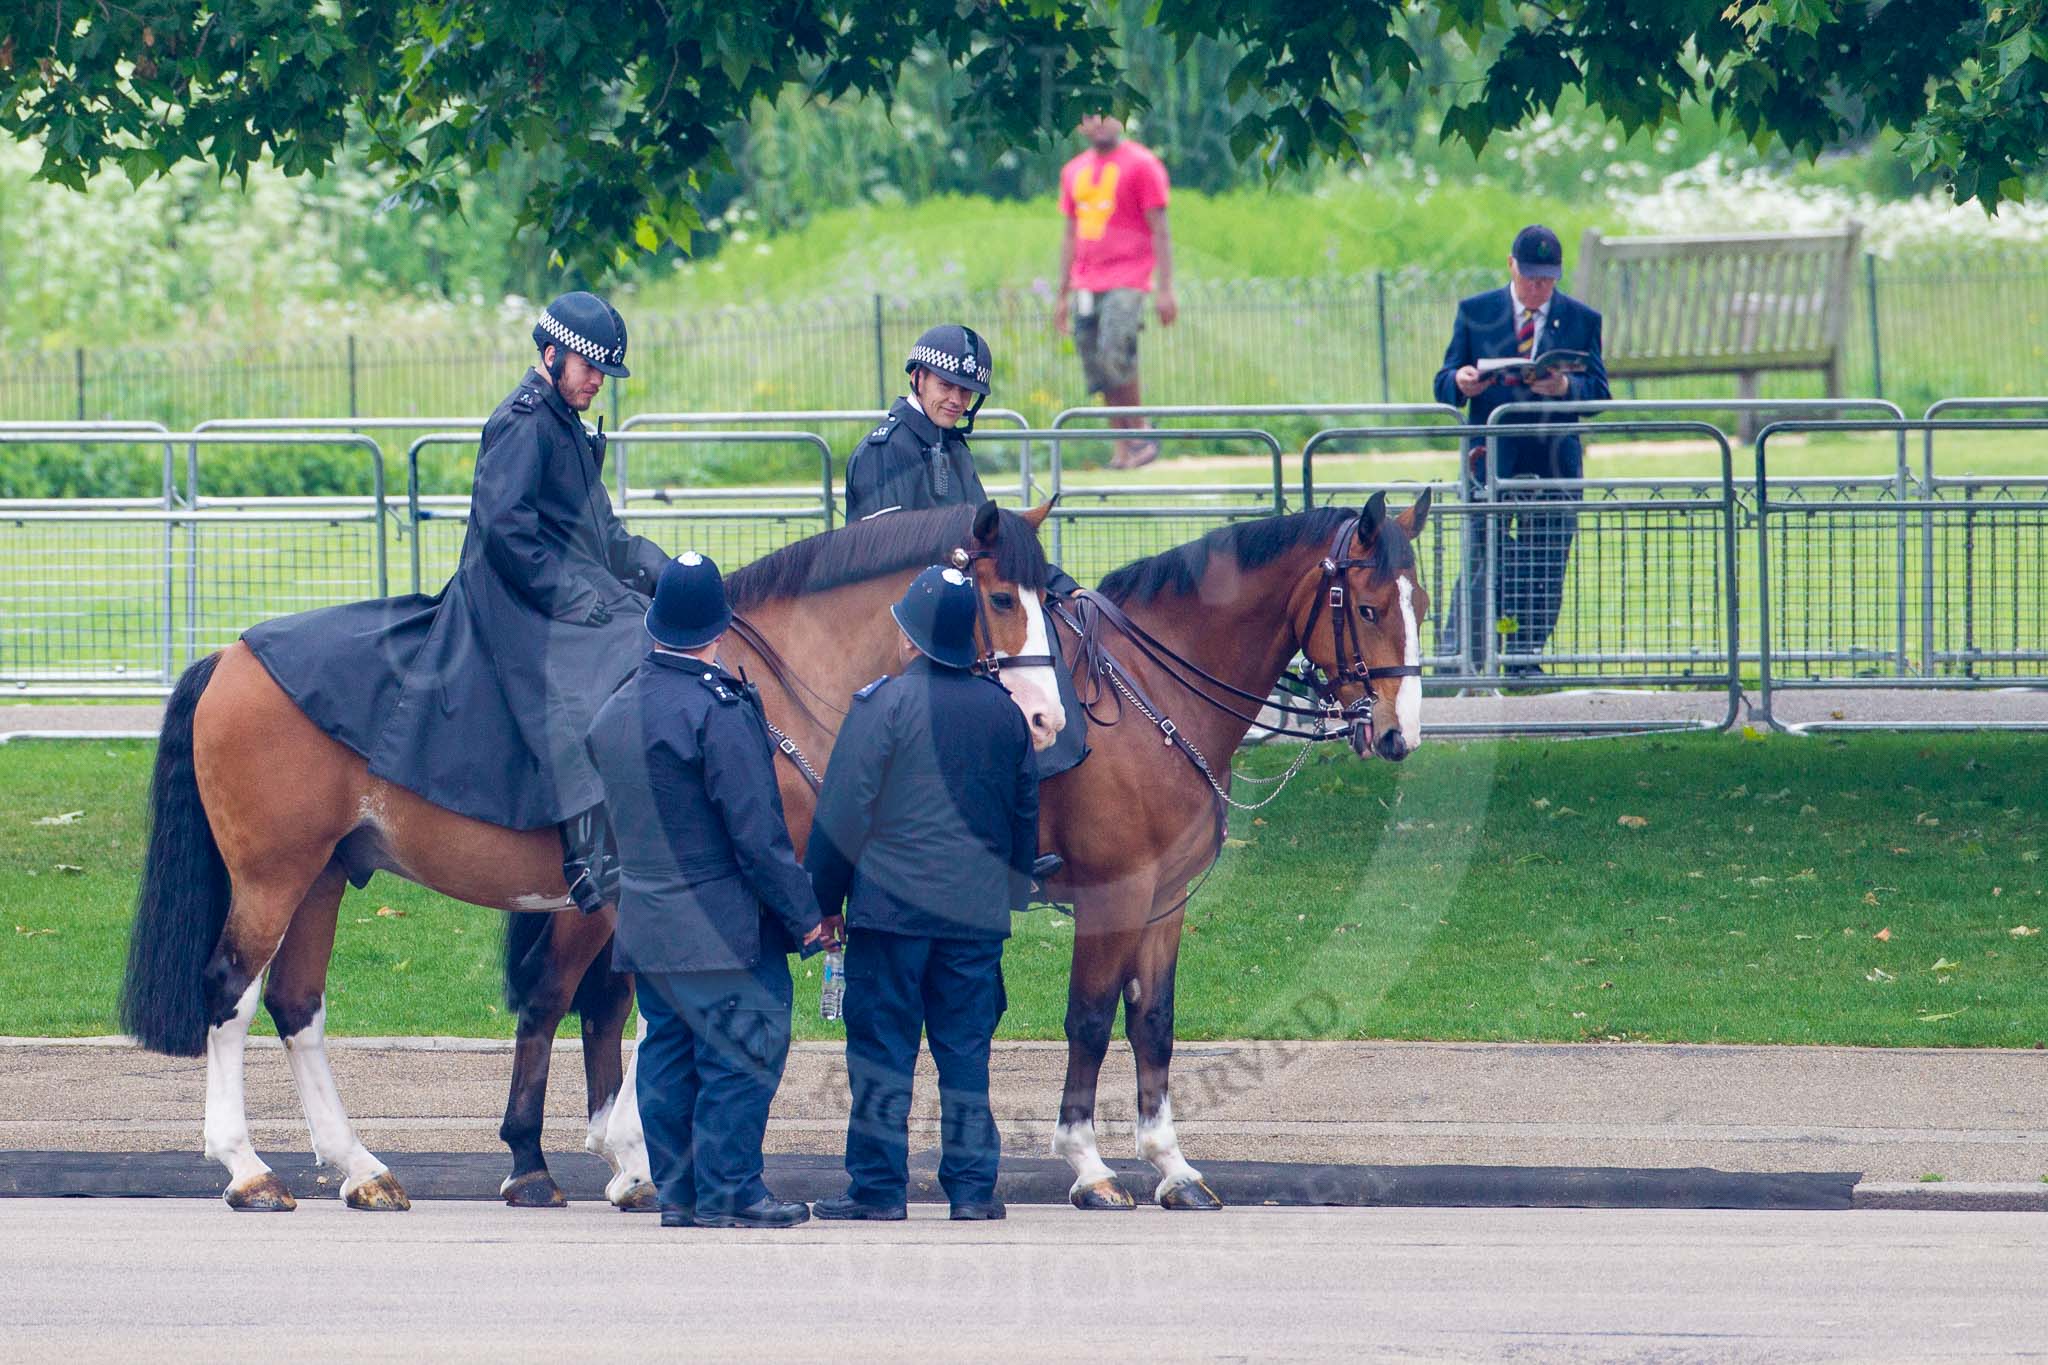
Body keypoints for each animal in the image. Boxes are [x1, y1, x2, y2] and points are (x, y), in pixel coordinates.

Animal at [585, 491, 1433, 1203]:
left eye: (1420, 604)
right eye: (1367, 606)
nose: (1398, 733)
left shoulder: (1164, 901)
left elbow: (1153, 1021)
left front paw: (1171, 1162)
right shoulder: (1114, 893)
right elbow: (1089, 1018)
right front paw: (1088, 1162)